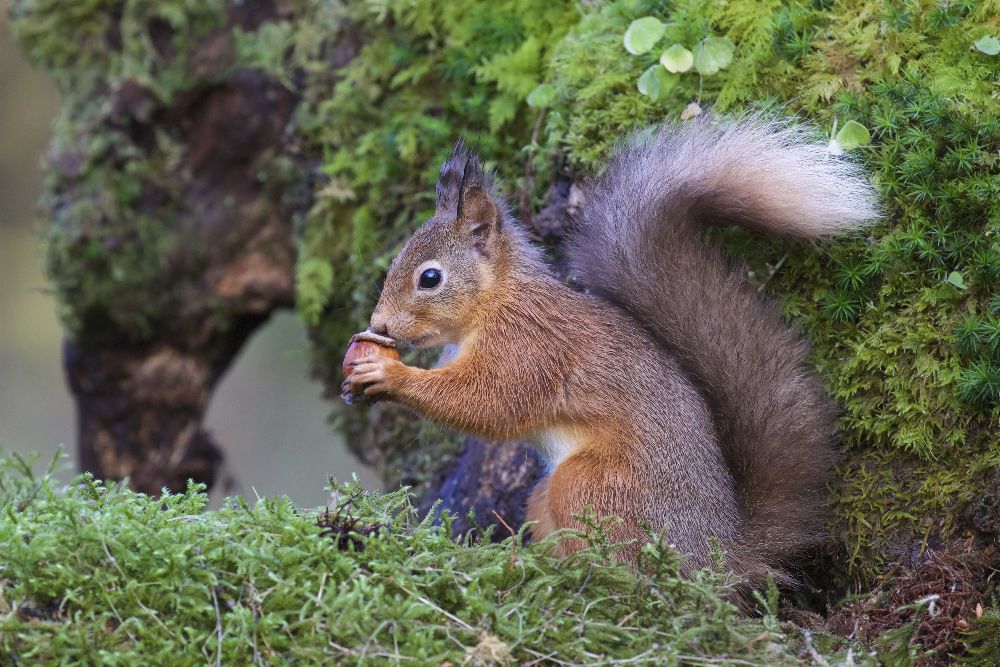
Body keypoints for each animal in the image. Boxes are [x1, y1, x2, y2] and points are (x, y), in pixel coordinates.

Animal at [347, 115, 879, 585]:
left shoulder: (530, 347)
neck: (493, 305)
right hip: (549, 495)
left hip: (590, 486)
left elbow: (487, 403)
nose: (378, 325)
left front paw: (390, 377)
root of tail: (717, 557)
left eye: (430, 278)